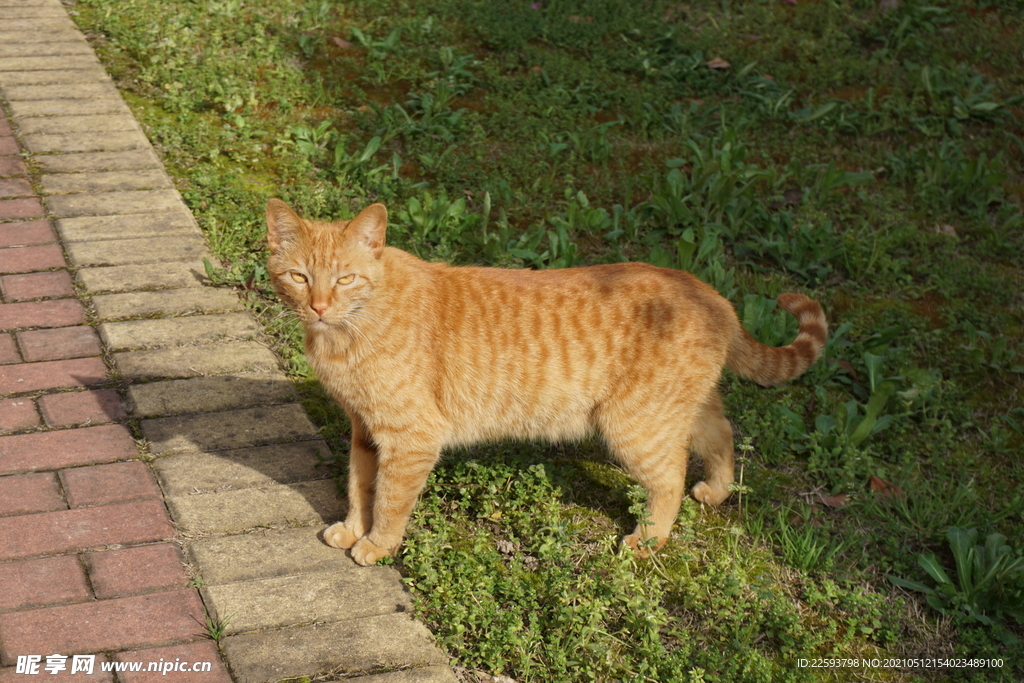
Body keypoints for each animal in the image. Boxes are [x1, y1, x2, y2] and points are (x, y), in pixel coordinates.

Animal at [268, 197, 827, 565]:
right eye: (299, 277)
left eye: (345, 279)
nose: (319, 306)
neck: (348, 332)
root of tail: (712, 293)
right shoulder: (366, 431)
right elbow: (359, 486)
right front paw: (351, 529)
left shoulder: (410, 439)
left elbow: (388, 500)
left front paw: (377, 545)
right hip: (679, 410)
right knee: (722, 435)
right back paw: (716, 491)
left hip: (635, 426)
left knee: (669, 476)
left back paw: (648, 540)